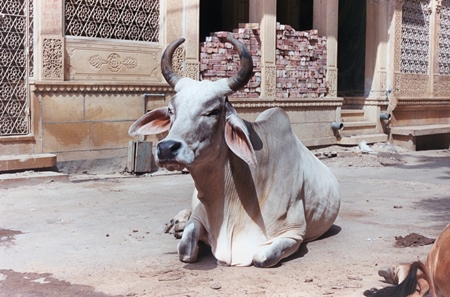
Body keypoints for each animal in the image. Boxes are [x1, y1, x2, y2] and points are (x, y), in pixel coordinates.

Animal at [130, 32, 342, 266]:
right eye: (171, 110)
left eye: (213, 110)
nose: (167, 148)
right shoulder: (199, 217)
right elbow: (186, 247)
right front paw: (189, 234)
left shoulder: (293, 233)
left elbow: (261, 257)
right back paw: (176, 222)